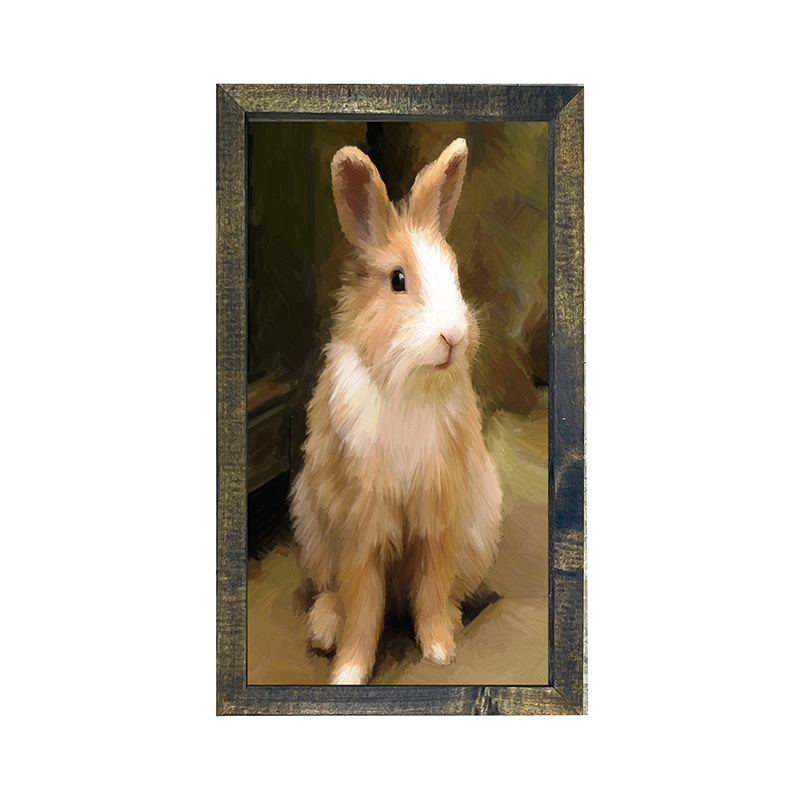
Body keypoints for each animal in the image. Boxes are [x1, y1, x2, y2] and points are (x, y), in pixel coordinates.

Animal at [289, 138, 503, 685]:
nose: (454, 336)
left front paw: (440, 650)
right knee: (335, 592)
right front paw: (348, 672)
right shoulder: (362, 522)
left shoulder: (437, 513)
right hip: (314, 528)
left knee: (443, 591)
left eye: (453, 274)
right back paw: (323, 630)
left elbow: (430, 585)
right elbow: (364, 601)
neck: (409, 384)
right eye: (398, 280)